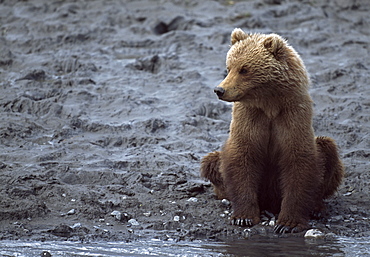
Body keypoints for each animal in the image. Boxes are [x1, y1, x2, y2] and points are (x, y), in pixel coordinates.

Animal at [201, 29, 346, 233]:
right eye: (228, 67)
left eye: (244, 69)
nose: (219, 90)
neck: (269, 103)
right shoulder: (250, 116)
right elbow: (243, 156)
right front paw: (243, 217)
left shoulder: (293, 115)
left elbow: (298, 161)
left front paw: (288, 224)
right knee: (211, 161)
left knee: (328, 149)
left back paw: (317, 208)